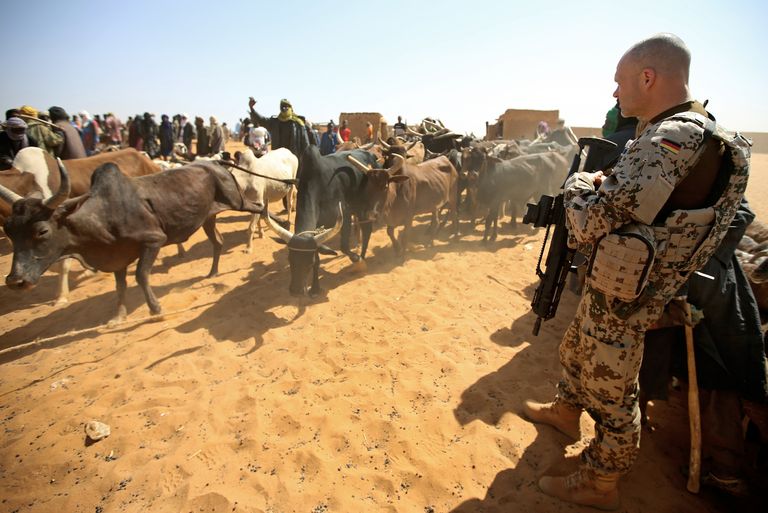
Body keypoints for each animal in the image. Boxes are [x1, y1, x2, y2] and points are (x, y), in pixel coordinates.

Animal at [0, 160, 260, 322]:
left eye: (42, 231)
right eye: (8, 231)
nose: (15, 280)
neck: (102, 215)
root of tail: (215, 163)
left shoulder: (153, 241)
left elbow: (141, 276)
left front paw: (156, 309)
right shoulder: (118, 256)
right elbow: (121, 286)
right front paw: (118, 316)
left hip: (237, 202)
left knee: (259, 207)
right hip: (208, 218)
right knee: (218, 243)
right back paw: (213, 272)